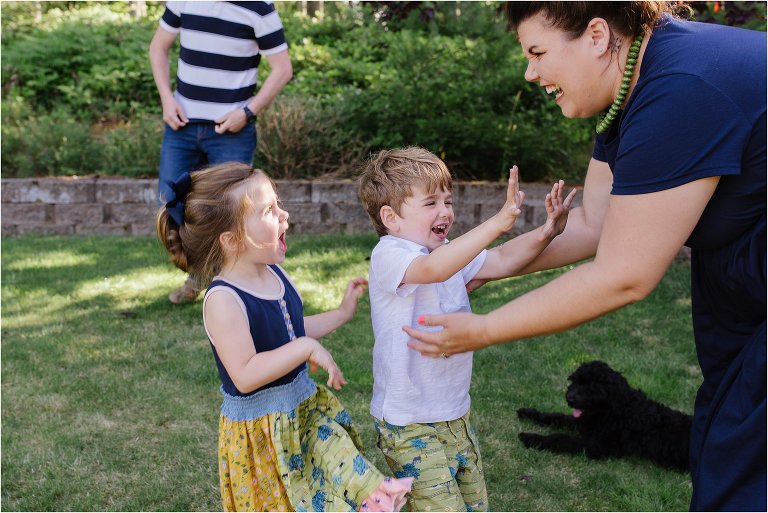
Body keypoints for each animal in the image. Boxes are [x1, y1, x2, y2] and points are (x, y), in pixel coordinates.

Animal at [520, 358, 692, 470]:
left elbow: (560, 438)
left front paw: (531, 438)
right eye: (575, 381)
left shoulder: (596, 445)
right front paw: (529, 413)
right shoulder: (583, 423)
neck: (613, 411)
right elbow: (556, 417)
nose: (569, 397)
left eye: (591, 387)